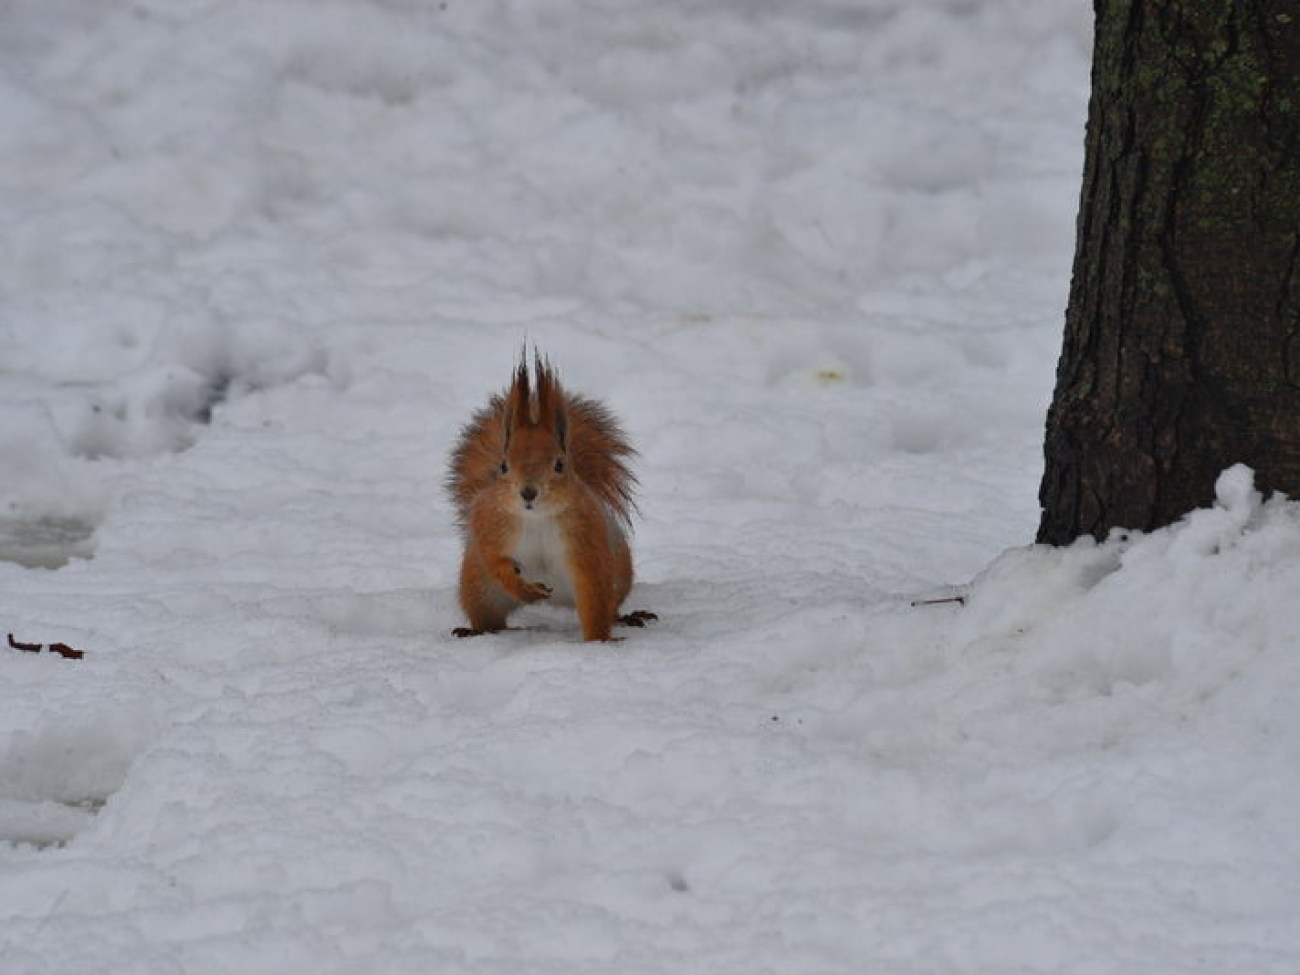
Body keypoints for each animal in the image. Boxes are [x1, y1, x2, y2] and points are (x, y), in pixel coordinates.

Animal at [447, 351, 655, 642]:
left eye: (559, 465)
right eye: (503, 466)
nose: (528, 492)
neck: (537, 519)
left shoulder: (587, 541)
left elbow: (594, 595)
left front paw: (599, 640)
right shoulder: (489, 523)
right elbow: (496, 562)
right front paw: (524, 589)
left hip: (621, 573)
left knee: (610, 603)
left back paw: (625, 617)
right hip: (479, 589)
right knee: (489, 617)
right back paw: (476, 630)